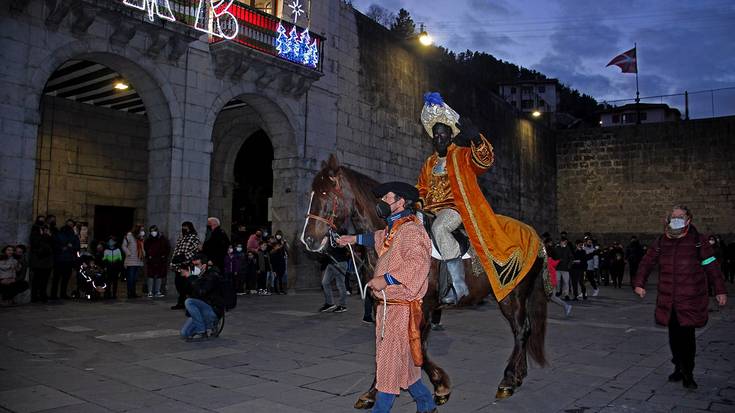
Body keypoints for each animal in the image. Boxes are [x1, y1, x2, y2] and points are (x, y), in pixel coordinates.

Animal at [302, 154, 548, 406]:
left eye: (325, 194)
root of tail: (537, 239)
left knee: (521, 330)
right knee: (523, 329)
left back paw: (508, 381)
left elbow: (418, 345)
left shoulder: (423, 305)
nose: (309, 239)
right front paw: (373, 392)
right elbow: (389, 344)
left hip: (512, 294)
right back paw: (518, 375)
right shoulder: (387, 304)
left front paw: (440, 386)